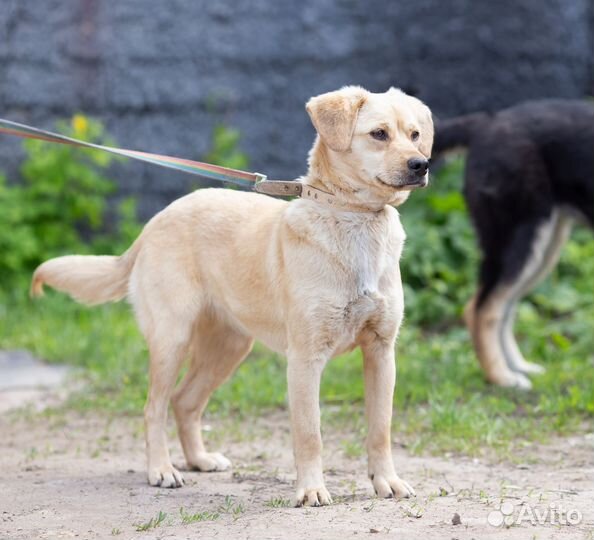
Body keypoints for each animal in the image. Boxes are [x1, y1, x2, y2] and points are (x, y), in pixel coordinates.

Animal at [32, 85, 430, 506]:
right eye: (379, 134)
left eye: (415, 134)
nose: (421, 165)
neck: (354, 220)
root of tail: (155, 221)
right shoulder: (305, 359)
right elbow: (310, 434)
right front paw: (311, 489)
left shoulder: (381, 352)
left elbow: (380, 429)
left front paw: (386, 481)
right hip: (172, 340)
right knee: (154, 407)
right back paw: (162, 470)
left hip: (229, 348)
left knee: (184, 401)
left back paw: (199, 459)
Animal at [432, 100, 588, 388]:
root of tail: (486, 121)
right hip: (517, 240)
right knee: (483, 310)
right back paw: (501, 376)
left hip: (543, 248)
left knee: (504, 309)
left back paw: (518, 366)